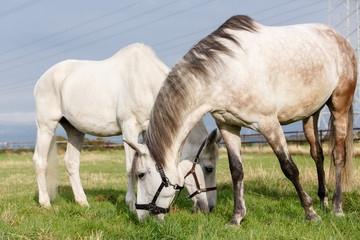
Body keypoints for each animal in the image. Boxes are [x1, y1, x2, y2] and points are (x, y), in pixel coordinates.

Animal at [33, 43, 219, 212]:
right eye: (209, 168)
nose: (209, 208)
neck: (146, 83)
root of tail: (42, 79)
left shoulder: (147, 132)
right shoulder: (129, 128)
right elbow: (131, 168)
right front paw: (131, 204)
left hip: (75, 131)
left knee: (71, 163)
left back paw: (82, 202)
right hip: (46, 126)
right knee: (40, 161)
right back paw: (45, 203)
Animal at [127, 15, 358, 225]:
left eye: (141, 174)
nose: (142, 217)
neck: (226, 73)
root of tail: (340, 38)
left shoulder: (269, 124)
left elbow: (289, 167)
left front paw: (310, 213)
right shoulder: (228, 125)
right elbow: (237, 171)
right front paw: (236, 217)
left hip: (339, 105)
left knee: (338, 155)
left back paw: (337, 207)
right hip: (311, 114)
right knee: (317, 154)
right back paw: (324, 200)